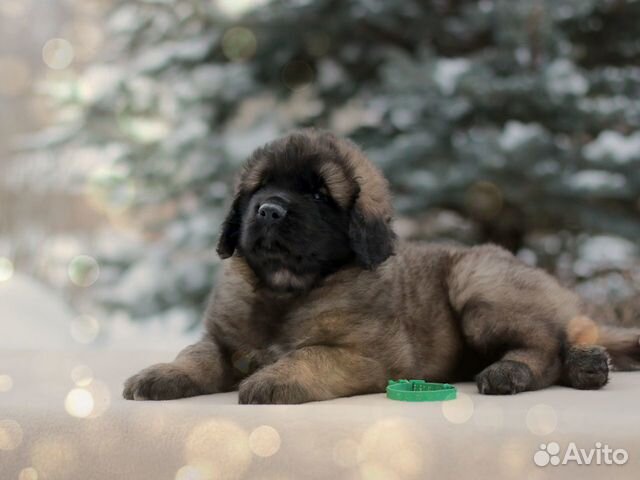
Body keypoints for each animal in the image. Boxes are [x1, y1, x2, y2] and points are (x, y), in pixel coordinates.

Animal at [125, 129, 640, 404]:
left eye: (318, 195)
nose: (268, 211)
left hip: (477, 282)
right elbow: (195, 355)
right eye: (260, 188)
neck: (286, 289)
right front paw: (160, 374)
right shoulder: (221, 339)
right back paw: (587, 366)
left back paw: (514, 371)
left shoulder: (369, 356)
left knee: (547, 343)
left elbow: (310, 354)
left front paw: (274, 378)